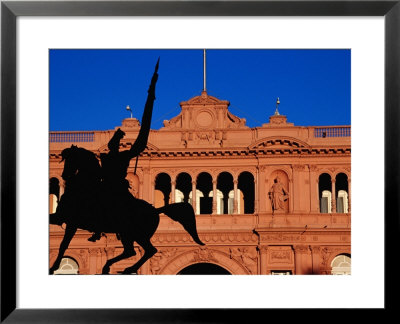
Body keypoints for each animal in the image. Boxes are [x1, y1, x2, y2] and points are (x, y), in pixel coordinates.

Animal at [50, 146, 205, 274]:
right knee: (132, 251)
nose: (64, 175)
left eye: (71, 159)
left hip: (134, 235)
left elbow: (63, 244)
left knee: (144, 250)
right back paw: (114, 267)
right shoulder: (67, 220)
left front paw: (54, 266)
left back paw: (124, 268)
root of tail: (155, 210)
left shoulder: (70, 220)